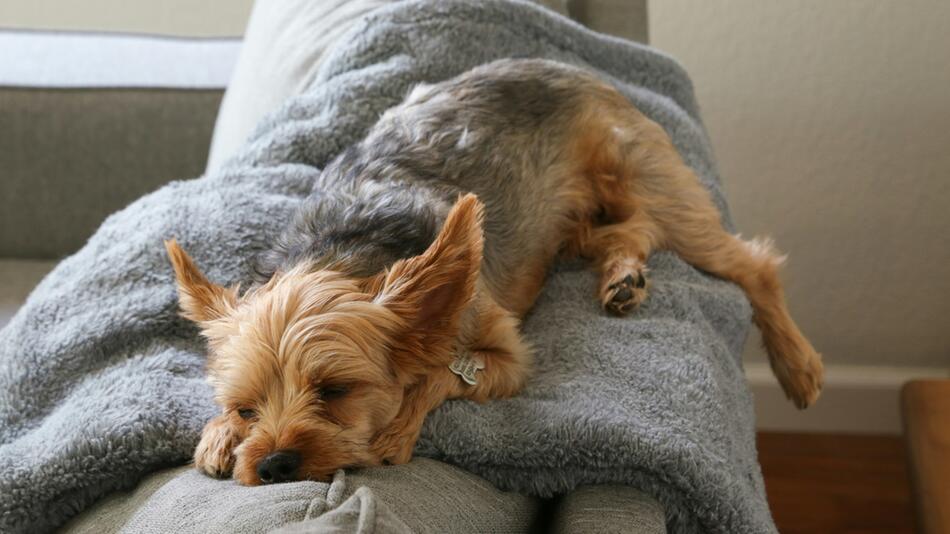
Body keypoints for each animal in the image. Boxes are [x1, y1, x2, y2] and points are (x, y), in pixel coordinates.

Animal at [165, 57, 824, 486]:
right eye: (246, 407)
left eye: (335, 391)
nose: (273, 465)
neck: (344, 255)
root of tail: (577, 66)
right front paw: (218, 435)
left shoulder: (507, 357)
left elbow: (441, 374)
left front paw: (396, 429)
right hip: (563, 224)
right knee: (630, 231)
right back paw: (623, 277)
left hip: (647, 177)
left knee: (748, 262)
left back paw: (797, 364)